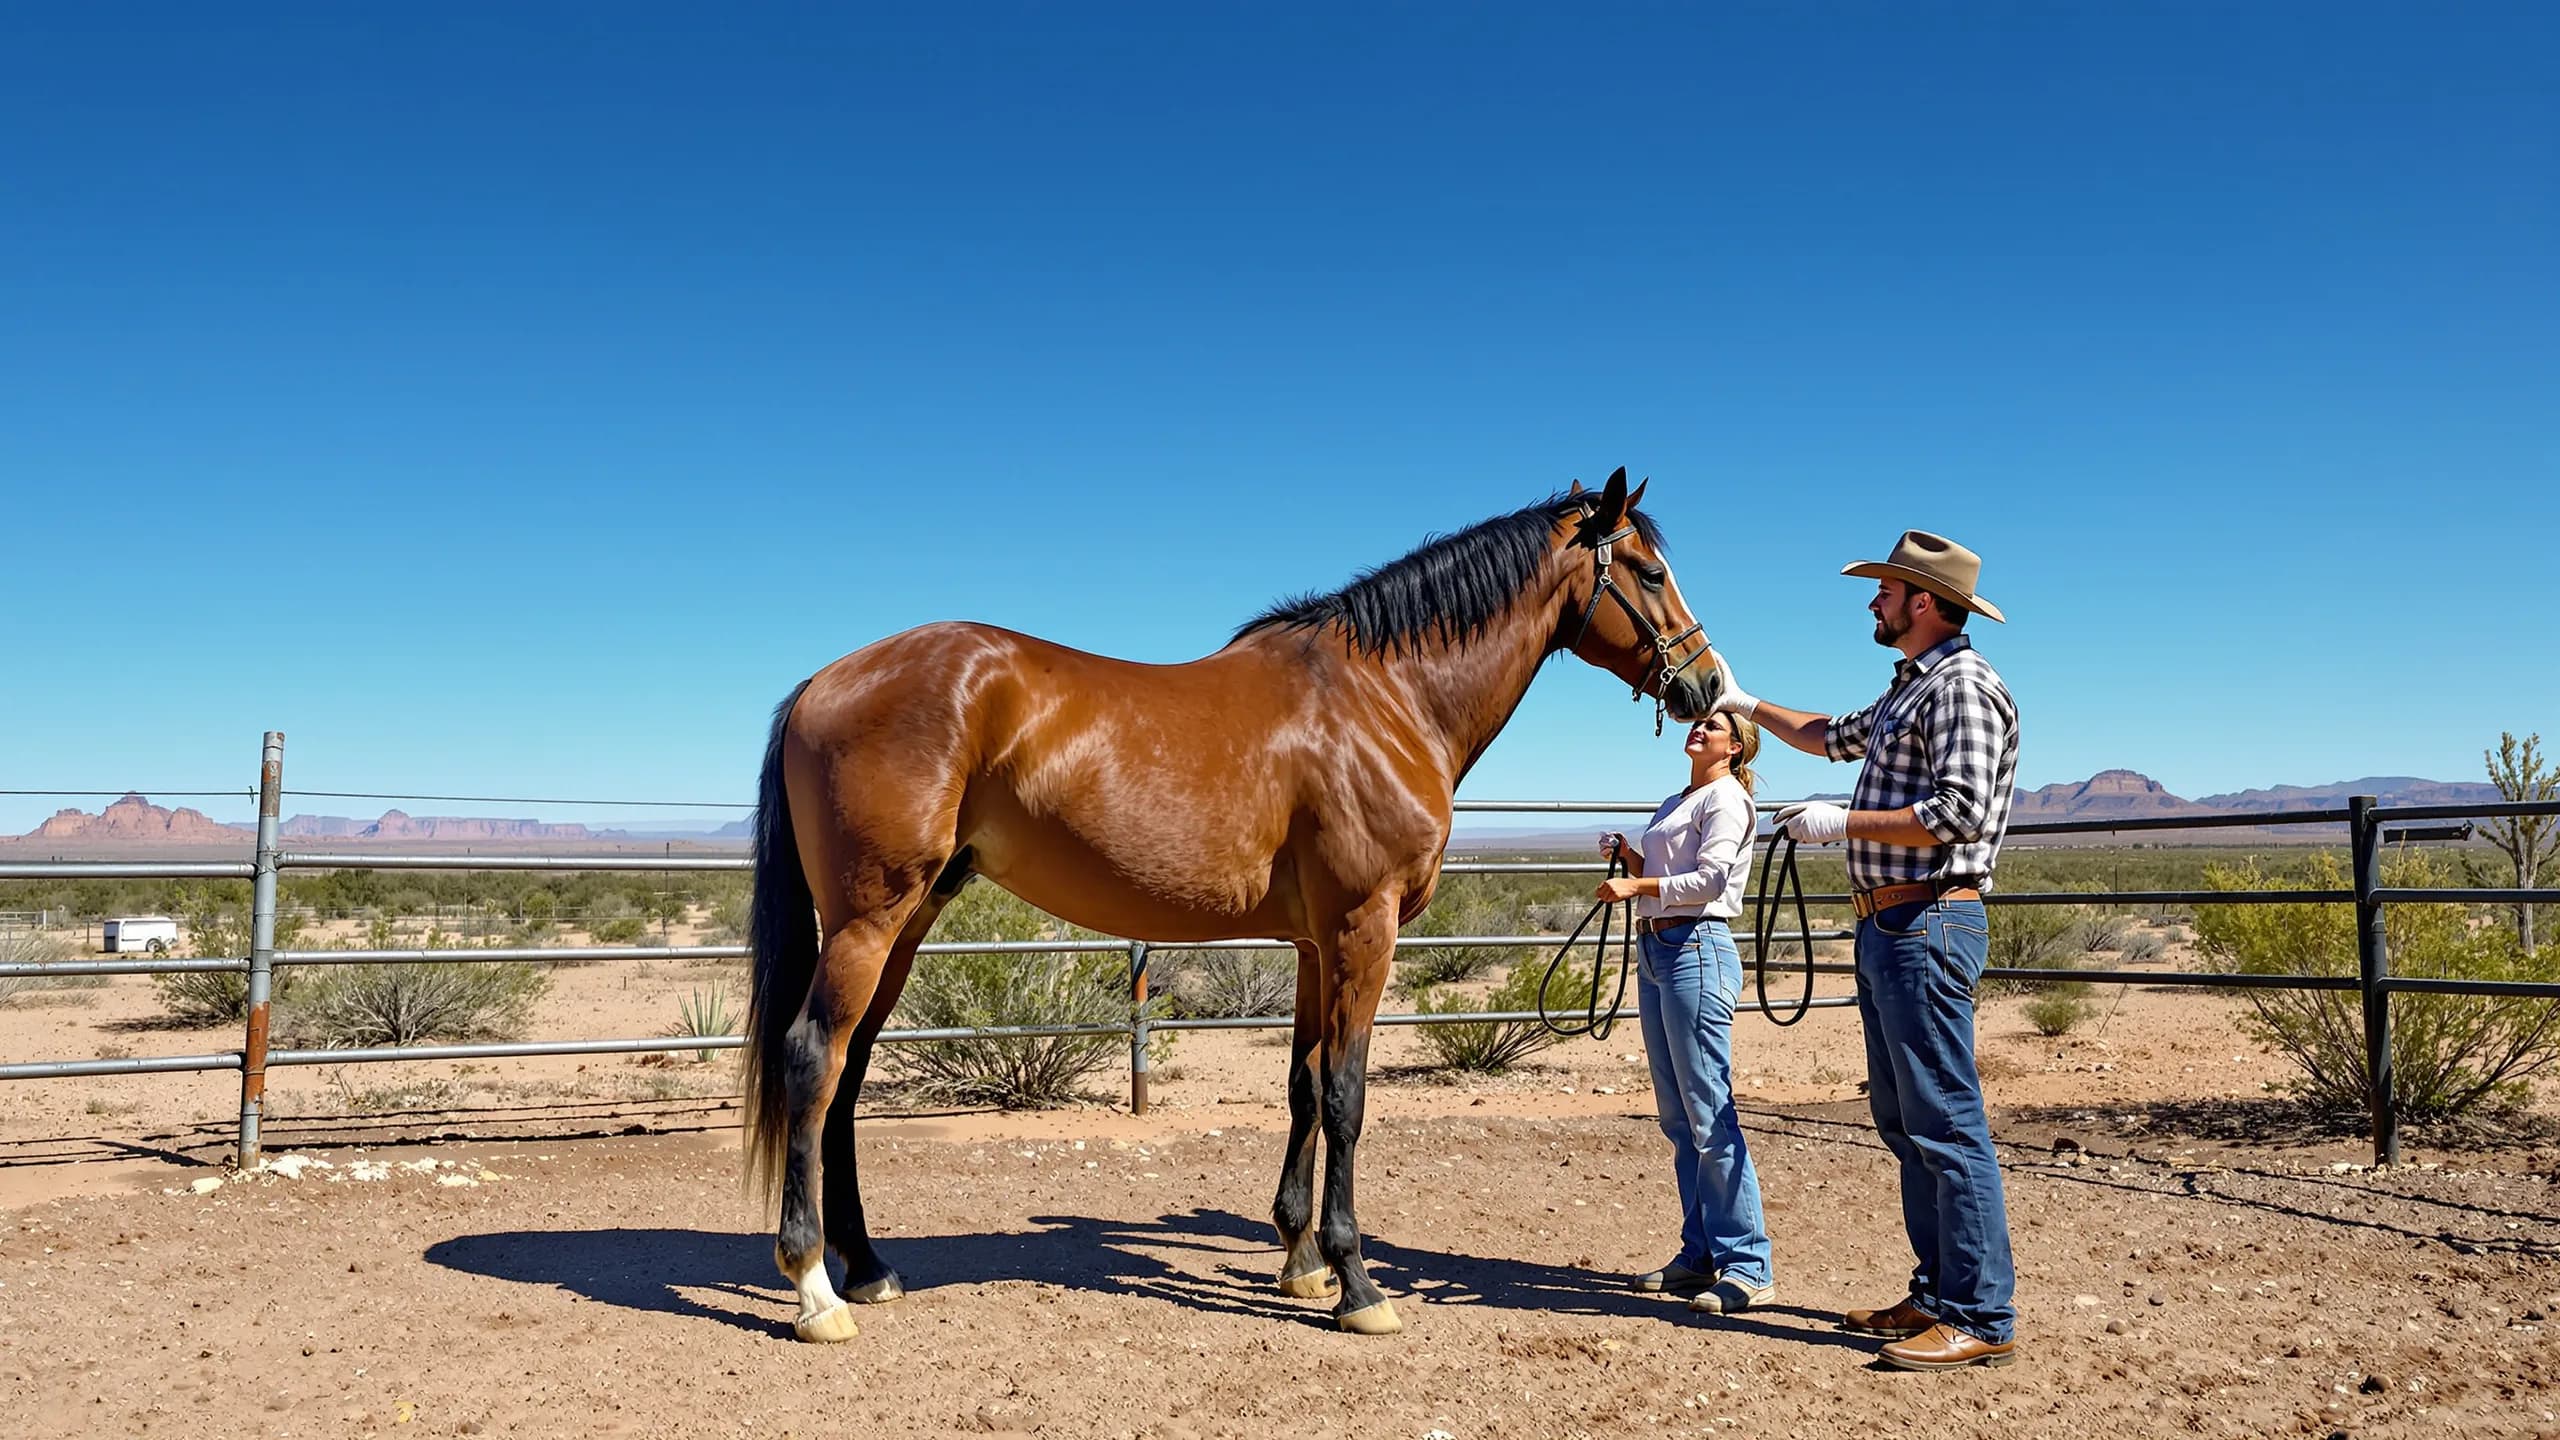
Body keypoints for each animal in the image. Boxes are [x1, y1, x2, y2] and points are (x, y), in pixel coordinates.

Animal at [743, 468, 1722, 1342]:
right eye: (1648, 572)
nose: (1708, 688)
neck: (1385, 696)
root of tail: (823, 681)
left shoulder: (1315, 945)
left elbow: (1303, 1085)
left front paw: (1301, 1258)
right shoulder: (1364, 929)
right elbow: (1347, 1095)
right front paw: (1358, 1284)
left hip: (910, 921)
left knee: (849, 1073)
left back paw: (869, 1269)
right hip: (870, 921)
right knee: (812, 1059)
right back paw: (815, 1290)